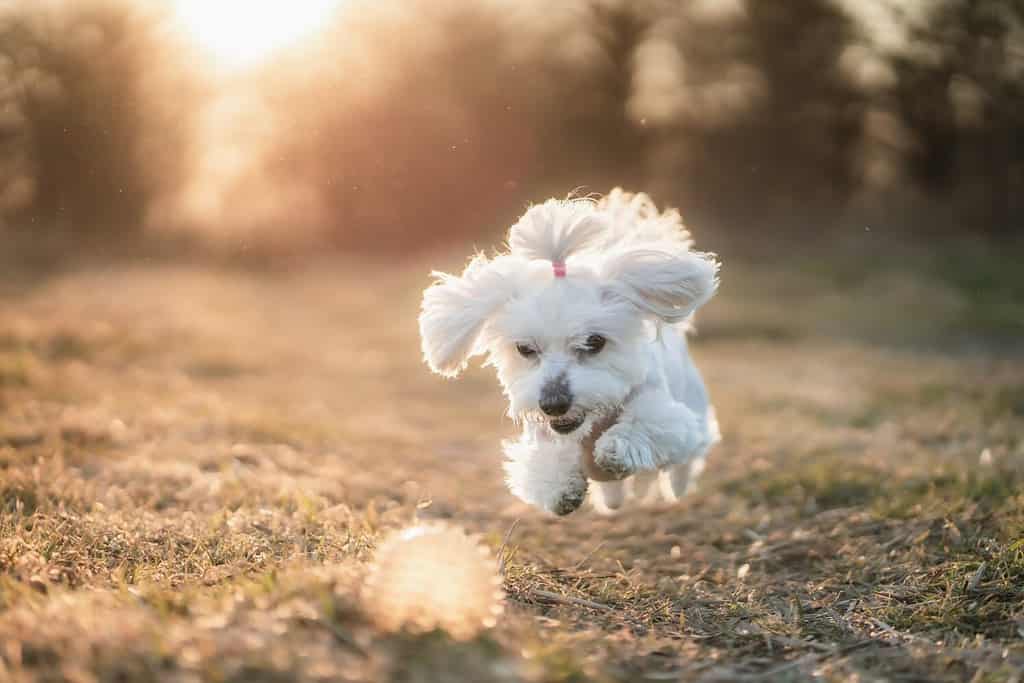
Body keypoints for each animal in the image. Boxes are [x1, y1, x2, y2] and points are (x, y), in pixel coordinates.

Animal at [415, 189, 720, 516]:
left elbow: (650, 423)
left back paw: (677, 487)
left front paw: (617, 446)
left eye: (594, 342)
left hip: (694, 411)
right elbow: (544, 460)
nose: (554, 404)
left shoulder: (668, 415)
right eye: (525, 349)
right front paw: (561, 485)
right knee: (615, 493)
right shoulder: (542, 435)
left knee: (686, 460)